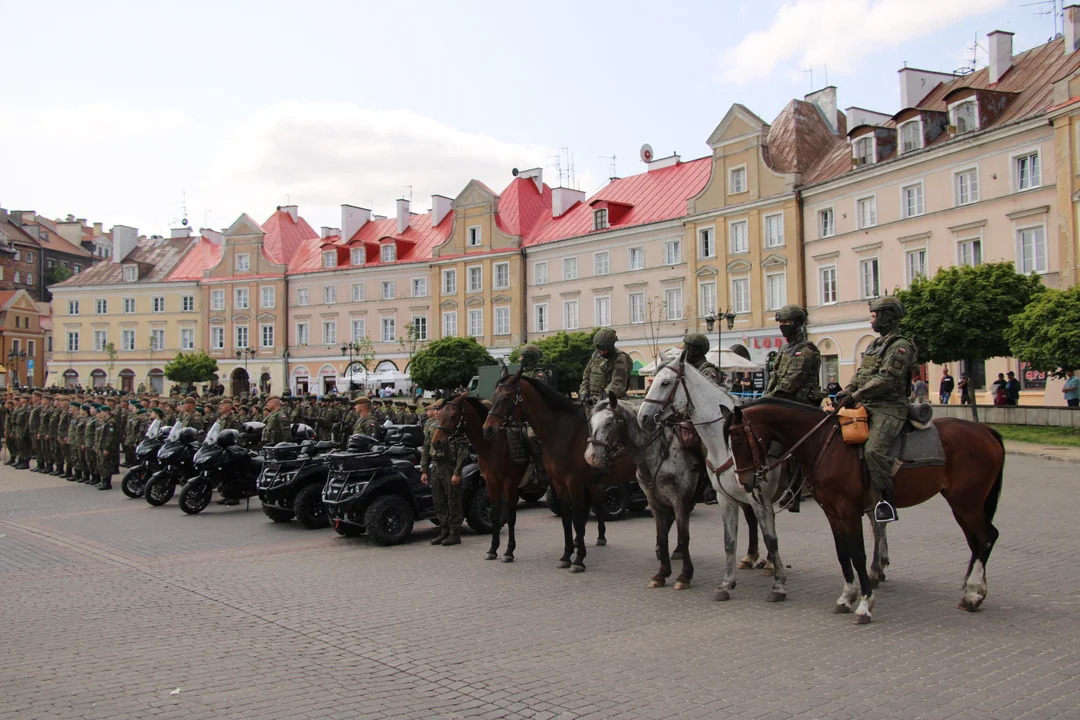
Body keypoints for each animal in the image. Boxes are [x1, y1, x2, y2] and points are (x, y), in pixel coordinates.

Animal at [432, 395, 529, 561]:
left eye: (453, 415)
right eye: (440, 414)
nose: (436, 442)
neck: (493, 446)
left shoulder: (510, 484)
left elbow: (511, 517)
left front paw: (509, 551)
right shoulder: (491, 483)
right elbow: (495, 515)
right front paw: (492, 549)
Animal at [483, 369, 635, 569]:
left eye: (507, 396)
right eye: (493, 396)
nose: (488, 429)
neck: (562, 432)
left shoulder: (574, 482)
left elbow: (577, 519)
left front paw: (579, 559)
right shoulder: (559, 483)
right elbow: (566, 519)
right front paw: (567, 555)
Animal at [587, 395, 695, 591]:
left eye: (609, 422)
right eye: (591, 422)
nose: (591, 457)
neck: (660, 454)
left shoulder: (679, 501)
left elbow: (684, 537)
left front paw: (685, 576)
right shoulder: (655, 503)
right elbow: (662, 536)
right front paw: (661, 574)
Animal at [635, 360, 790, 604]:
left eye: (665, 382)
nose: (643, 417)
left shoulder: (758, 497)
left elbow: (770, 537)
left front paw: (778, 585)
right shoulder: (726, 497)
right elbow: (729, 540)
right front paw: (726, 584)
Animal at [725, 399, 1002, 626]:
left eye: (738, 440)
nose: (744, 481)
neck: (824, 443)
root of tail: (985, 430)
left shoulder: (848, 510)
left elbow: (857, 554)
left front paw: (865, 604)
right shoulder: (832, 512)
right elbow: (842, 553)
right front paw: (846, 597)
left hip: (966, 502)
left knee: (987, 537)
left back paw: (973, 593)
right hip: (961, 504)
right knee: (977, 542)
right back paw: (974, 591)